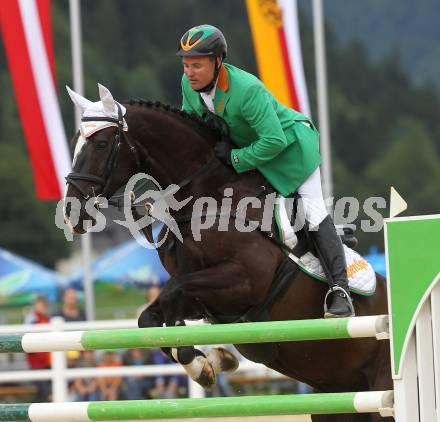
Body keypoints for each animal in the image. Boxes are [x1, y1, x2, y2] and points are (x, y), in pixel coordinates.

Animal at [64, 86, 392, 422]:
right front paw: (207, 361)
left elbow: (175, 293)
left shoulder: (243, 281)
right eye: (76, 142)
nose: (71, 212)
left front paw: (205, 362)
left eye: (102, 144)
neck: (209, 198)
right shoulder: (205, 300)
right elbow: (151, 318)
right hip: (336, 401)